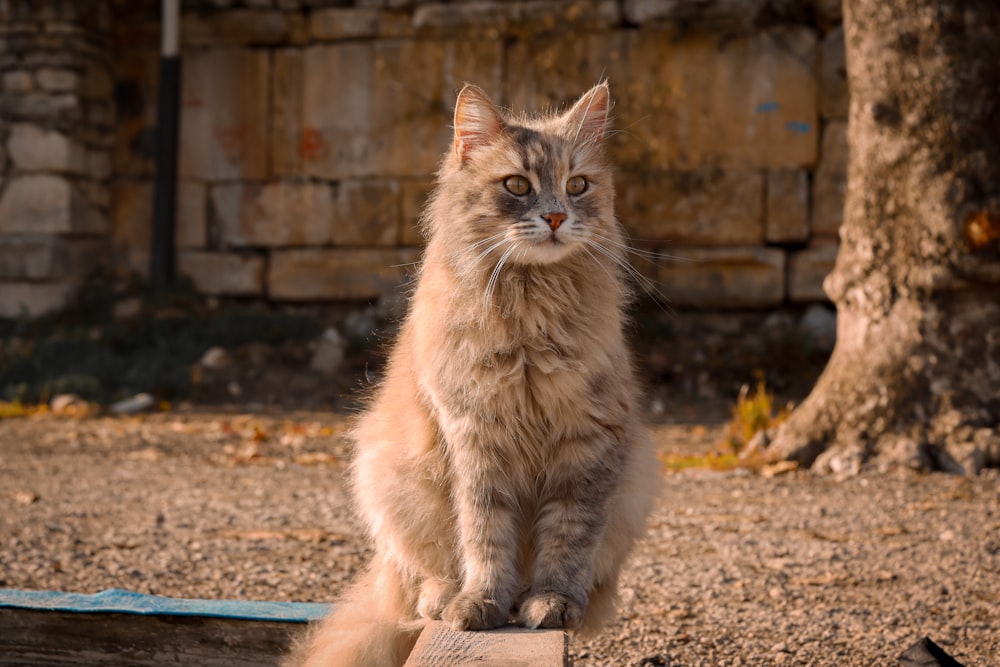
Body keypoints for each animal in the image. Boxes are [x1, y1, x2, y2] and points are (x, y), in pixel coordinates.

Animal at [288, 83, 664, 667]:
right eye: (518, 185)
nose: (556, 217)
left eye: (577, 186)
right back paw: (446, 598)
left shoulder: (589, 441)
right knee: (418, 581)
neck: (531, 316)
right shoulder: (476, 436)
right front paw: (484, 602)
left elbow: (570, 536)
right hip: (388, 481)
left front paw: (552, 603)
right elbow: (485, 534)